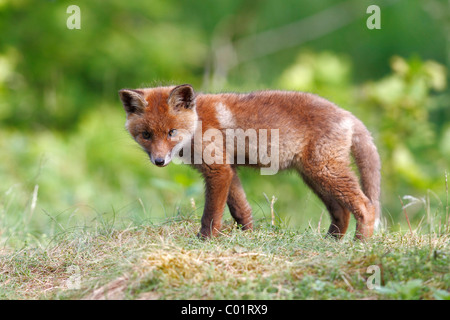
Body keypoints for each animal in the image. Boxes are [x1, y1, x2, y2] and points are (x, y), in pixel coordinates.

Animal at [118, 84, 380, 240]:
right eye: (146, 135)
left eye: (171, 132)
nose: (159, 160)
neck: (198, 123)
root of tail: (348, 115)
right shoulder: (229, 170)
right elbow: (241, 209)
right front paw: (248, 236)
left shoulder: (218, 170)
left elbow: (211, 214)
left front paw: (204, 240)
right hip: (315, 178)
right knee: (341, 212)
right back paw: (330, 243)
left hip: (325, 172)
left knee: (366, 206)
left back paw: (359, 244)